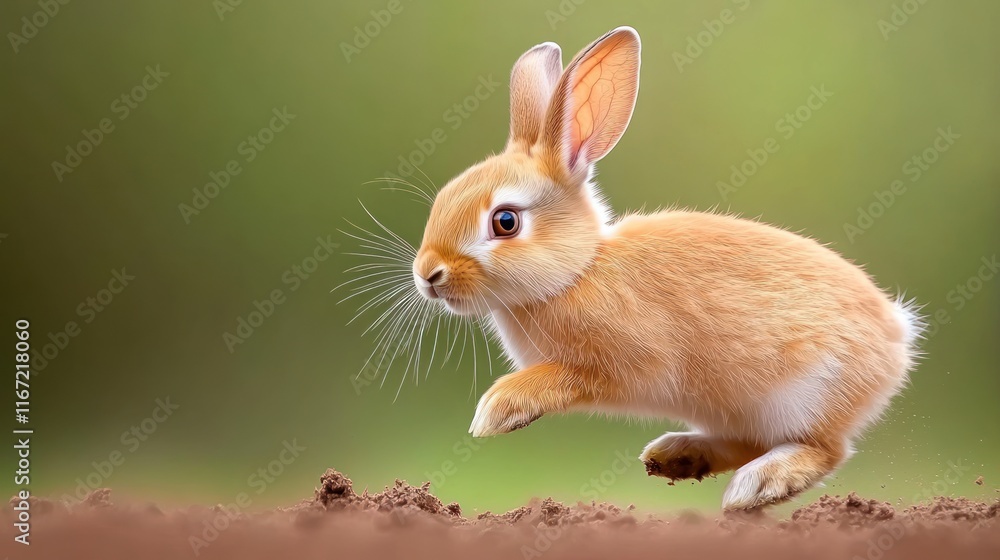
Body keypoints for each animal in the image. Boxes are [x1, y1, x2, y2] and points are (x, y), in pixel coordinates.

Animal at [409, 26, 923, 510]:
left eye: (506, 222)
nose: (428, 275)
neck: (578, 272)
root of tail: (897, 335)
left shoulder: (621, 364)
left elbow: (568, 378)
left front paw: (495, 411)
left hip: (803, 396)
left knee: (826, 450)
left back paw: (756, 486)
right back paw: (677, 456)